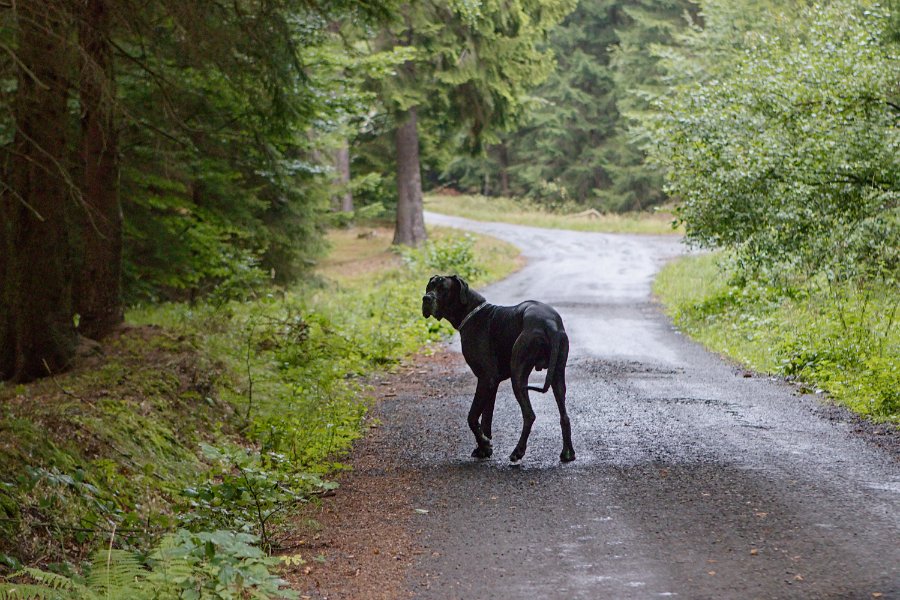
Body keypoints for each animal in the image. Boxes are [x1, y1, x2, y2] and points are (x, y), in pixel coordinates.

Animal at [422, 274, 576, 462]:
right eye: (429, 287)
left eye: (443, 289)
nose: (426, 298)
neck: (471, 312)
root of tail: (550, 324)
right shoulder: (491, 383)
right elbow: (486, 417)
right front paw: (483, 448)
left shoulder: (485, 379)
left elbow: (472, 417)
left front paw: (484, 445)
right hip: (557, 375)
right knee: (564, 415)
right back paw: (568, 452)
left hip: (518, 374)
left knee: (529, 415)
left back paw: (518, 451)